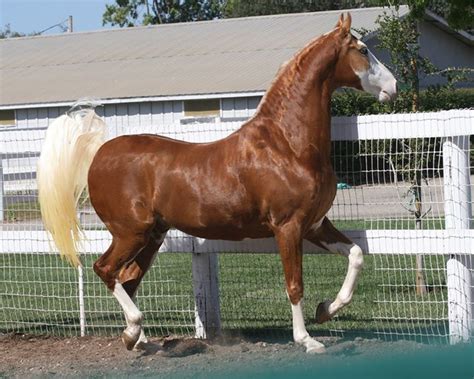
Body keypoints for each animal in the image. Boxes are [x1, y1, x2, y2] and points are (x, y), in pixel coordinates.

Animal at [39, 13, 396, 354]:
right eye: (363, 50)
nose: (393, 86)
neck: (287, 145)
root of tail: (100, 152)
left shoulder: (315, 224)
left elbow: (356, 255)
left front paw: (325, 310)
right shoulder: (288, 227)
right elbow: (294, 284)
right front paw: (307, 340)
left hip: (152, 236)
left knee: (127, 280)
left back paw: (137, 339)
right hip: (130, 232)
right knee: (106, 270)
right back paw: (134, 331)